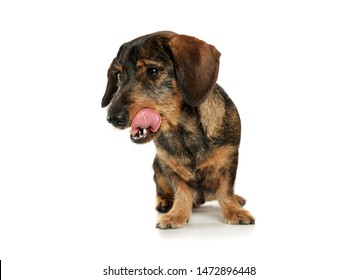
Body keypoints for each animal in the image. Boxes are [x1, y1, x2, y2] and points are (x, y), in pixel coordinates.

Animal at [102, 30, 256, 229]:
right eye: (119, 75)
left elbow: (226, 190)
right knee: (161, 189)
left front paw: (234, 211)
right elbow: (181, 192)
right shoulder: (168, 167)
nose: (112, 118)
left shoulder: (229, 161)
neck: (183, 131)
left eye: (152, 71)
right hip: (157, 167)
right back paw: (165, 202)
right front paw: (177, 215)